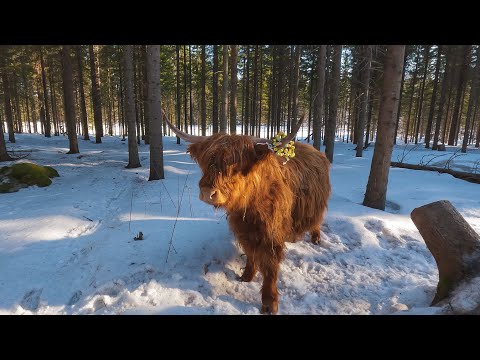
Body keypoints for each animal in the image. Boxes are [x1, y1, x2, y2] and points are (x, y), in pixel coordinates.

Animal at [165, 113, 330, 316]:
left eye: (234, 165)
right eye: (207, 162)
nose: (207, 193)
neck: (251, 208)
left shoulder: (271, 235)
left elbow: (270, 266)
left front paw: (269, 303)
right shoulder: (243, 230)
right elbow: (250, 254)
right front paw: (246, 276)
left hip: (316, 207)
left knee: (317, 222)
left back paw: (316, 239)